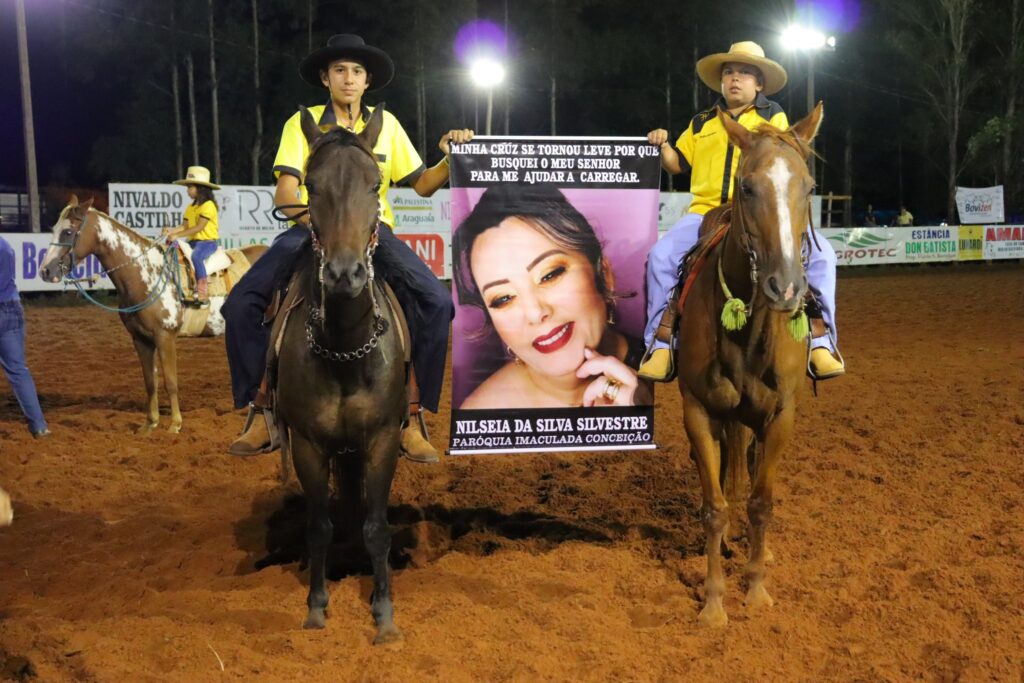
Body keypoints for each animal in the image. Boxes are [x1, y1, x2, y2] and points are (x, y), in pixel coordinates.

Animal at [38, 197, 266, 432]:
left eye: (68, 232)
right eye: (53, 229)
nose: (45, 271)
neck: (147, 274)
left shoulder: (165, 336)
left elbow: (171, 381)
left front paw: (175, 424)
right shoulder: (141, 339)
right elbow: (150, 382)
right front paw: (151, 423)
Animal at [274, 104, 409, 643]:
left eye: (375, 184)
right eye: (311, 185)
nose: (345, 274)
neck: (347, 352)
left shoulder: (383, 439)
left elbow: (377, 526)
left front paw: (384, 613)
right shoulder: (309, 445)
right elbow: (318, 527)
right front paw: (316, 607)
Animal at [675, 102, 827, 630]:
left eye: (809, 187)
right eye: (747, 186)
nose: (786, 286)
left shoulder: (782, 415)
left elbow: (761, 504)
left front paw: (757, 589)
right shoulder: (699, 412)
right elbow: (715, 506)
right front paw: (714, 601)